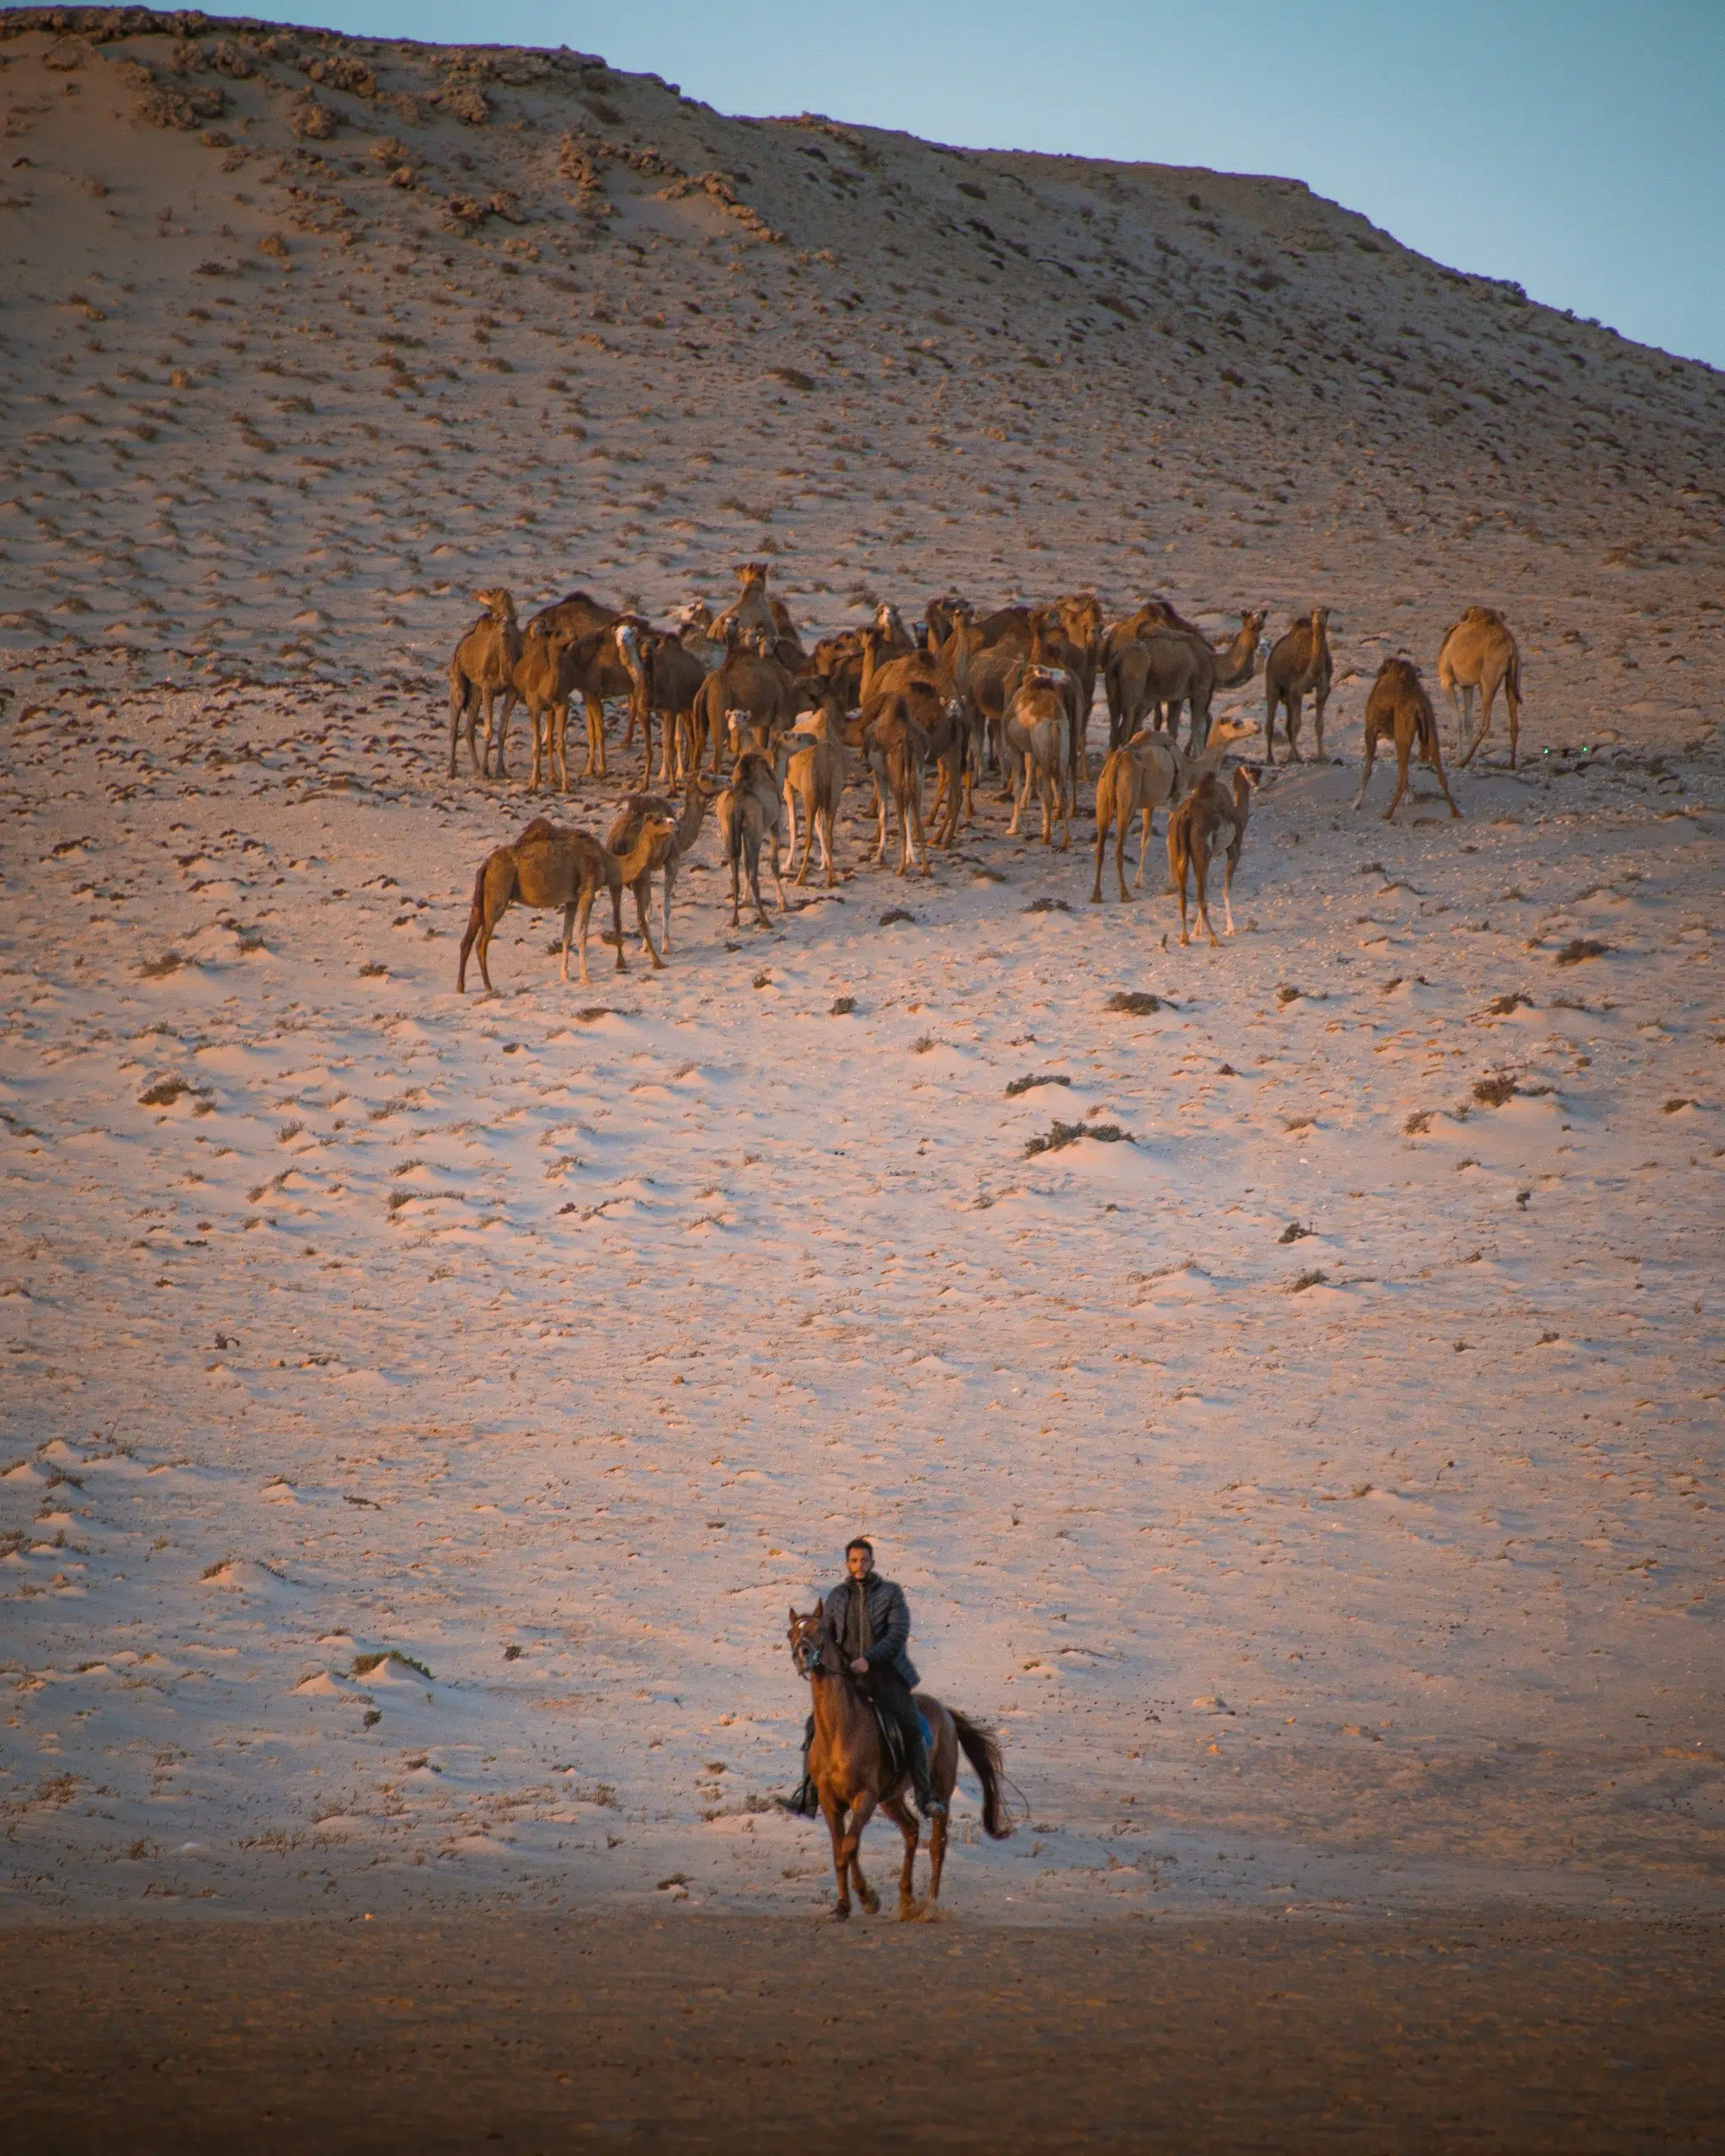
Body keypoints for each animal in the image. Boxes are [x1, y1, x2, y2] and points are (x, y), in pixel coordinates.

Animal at [787, 1606, 1012, 1921]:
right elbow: (839, 1852)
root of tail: (945, 1712)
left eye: (820, 1630)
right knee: (911, 1830)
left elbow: (850, 1845)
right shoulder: (831, 1803)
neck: (840, 1730)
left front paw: (868, 1899)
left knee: (937, 1844)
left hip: (939, 1791)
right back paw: (906, 1899)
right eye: (790, 1633)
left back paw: (929, 1905)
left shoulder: (865, 1798)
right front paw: (843, 1907)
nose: (803, 1655)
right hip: (891, 1799)